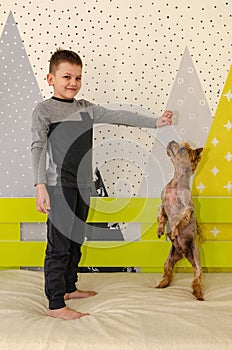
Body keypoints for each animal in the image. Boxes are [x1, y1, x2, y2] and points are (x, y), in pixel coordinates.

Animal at [157, 139, 204, 300]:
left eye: (183, 149)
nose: (172, 141)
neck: (175, 184)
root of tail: (183, 254)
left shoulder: (186, 207)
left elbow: (179, 217)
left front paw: (175, 231)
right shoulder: (163, 204)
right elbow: (161, 216)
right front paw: (160, 229)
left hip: (196, 260)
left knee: (197, 277)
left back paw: (199, 295)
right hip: (170, 258)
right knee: (168, 271)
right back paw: (161, 285)